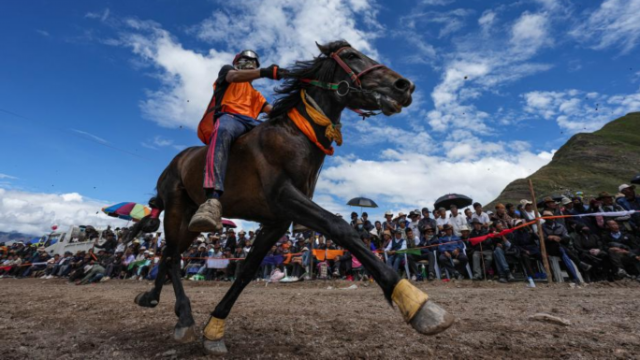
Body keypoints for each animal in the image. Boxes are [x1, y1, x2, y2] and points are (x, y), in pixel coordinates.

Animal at [129, 41, 450, 354]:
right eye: (350, 55)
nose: (404, 85)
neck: (295, 136)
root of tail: (176, 161)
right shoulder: (285, 198)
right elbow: (340, 228)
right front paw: (416, 303)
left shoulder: (278, 221)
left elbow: (246, 271)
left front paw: (215, 328)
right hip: (177, 209)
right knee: (172, 257)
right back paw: (183, 316)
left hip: (190, 223)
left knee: (169, 254)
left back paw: (152, 297)